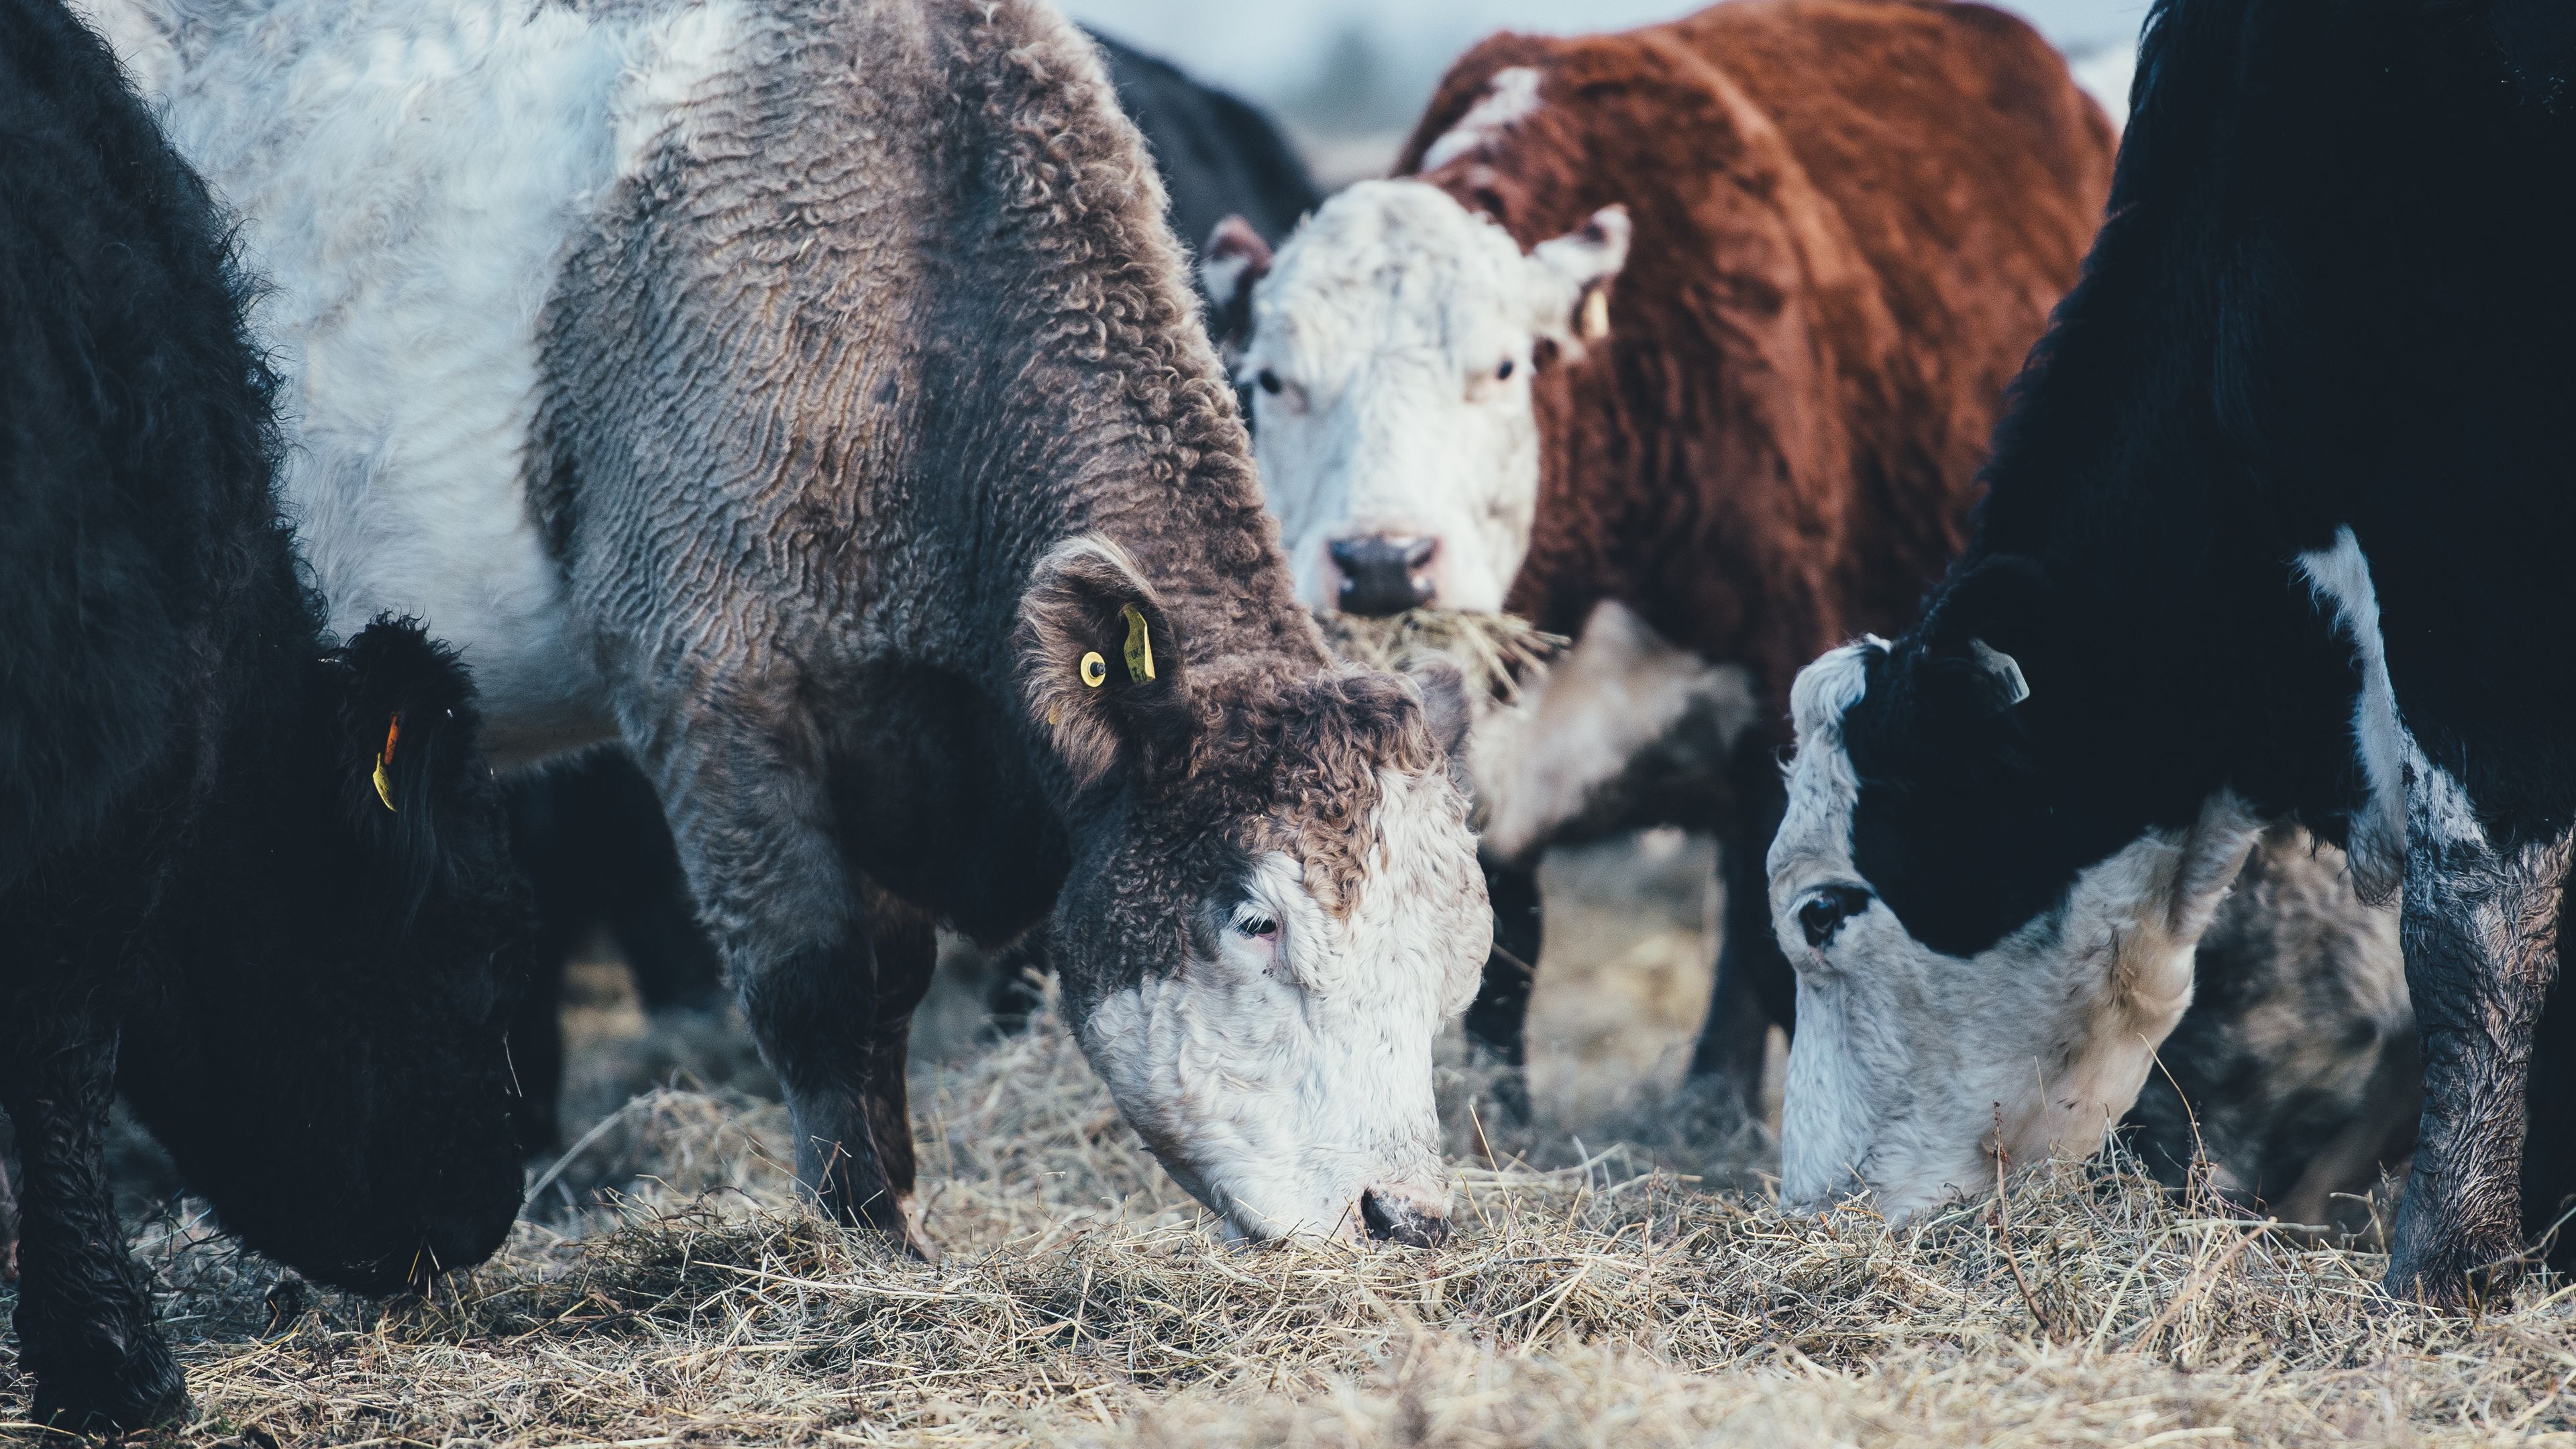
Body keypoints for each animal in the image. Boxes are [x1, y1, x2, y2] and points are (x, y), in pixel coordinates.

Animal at [1200, 0, 2117, 1106]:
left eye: (1501, 368)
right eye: (1273, 379)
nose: (1383, 563)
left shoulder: (1785, 709)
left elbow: (1773, 946)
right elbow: (1499, 957)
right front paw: (1498, 1112)